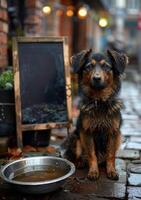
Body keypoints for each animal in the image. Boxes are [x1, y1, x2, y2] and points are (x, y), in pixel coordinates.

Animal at [65, 49, 128, 180]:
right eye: (89, 66)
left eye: (106, 66)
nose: (96, 78)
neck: (99, 101)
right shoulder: (87, 132)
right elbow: (91, 154)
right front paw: (93, 171)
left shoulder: (113, 132)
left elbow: (110, 155)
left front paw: (111, 171)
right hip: (75, 138)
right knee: (78, 156)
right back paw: (80, 163)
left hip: (120, 136)